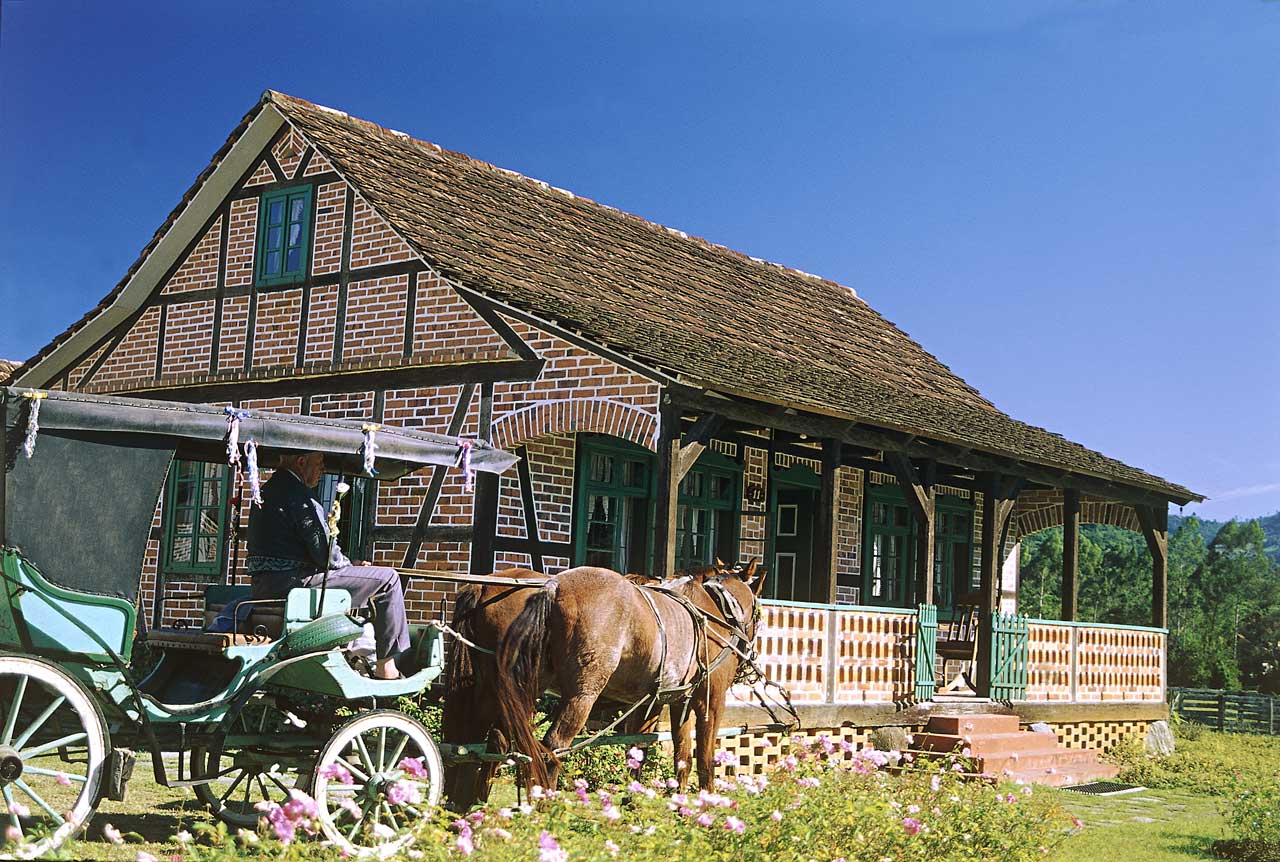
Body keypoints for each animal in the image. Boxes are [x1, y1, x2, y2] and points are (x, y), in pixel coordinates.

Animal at [496, 561, 757, 788]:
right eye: (757, 611)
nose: (750, 657)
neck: (714, 613)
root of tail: (555, 587)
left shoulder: (667, 701)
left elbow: (665, 754)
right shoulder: (711, 702)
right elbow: (705, 759)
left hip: (529, 687)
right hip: (581, 696)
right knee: (553, 746)